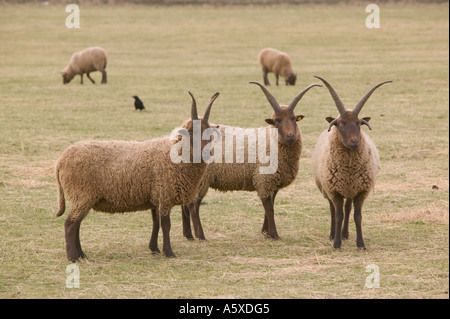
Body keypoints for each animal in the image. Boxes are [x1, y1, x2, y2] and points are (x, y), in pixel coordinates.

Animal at [55, 91, 221, 262]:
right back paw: (73, 257)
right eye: (192, 132)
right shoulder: (164, 196)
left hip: (82, 197)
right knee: (70, 224)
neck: (175, 155)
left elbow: (156, 223)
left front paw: (154, 249)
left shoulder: (155, 198)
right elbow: (166, 226)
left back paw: (82, 254)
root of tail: (60, 161)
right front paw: (169, 252)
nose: (207, 153)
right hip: (81, 194)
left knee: (76, 224)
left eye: (211, 134)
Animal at [179, 81, 320, 241]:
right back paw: (200, 235)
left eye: (294, 119)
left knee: (185, 204)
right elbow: (269, 209)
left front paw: (266, 233)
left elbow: (270, 206)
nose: (290, 136)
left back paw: (188, 235)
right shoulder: (264, 180)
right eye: (276, 121)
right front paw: (274, 235)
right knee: (193, 205)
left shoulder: (272, 183)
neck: (272, 141)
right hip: (201, 179)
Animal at [312, 75, 392, 250]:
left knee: (347, 208)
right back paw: (333, 234)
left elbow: (357, 215)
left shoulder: (361, 190)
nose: (355, 142)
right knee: (333, 210)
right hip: (327, 187)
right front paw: (336, 244)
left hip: (349, 190)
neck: (348, 169)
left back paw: (345, 234)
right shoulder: (334, 190)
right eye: (340, 124)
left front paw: (360, 244)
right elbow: (338, 214)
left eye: (359, 123)